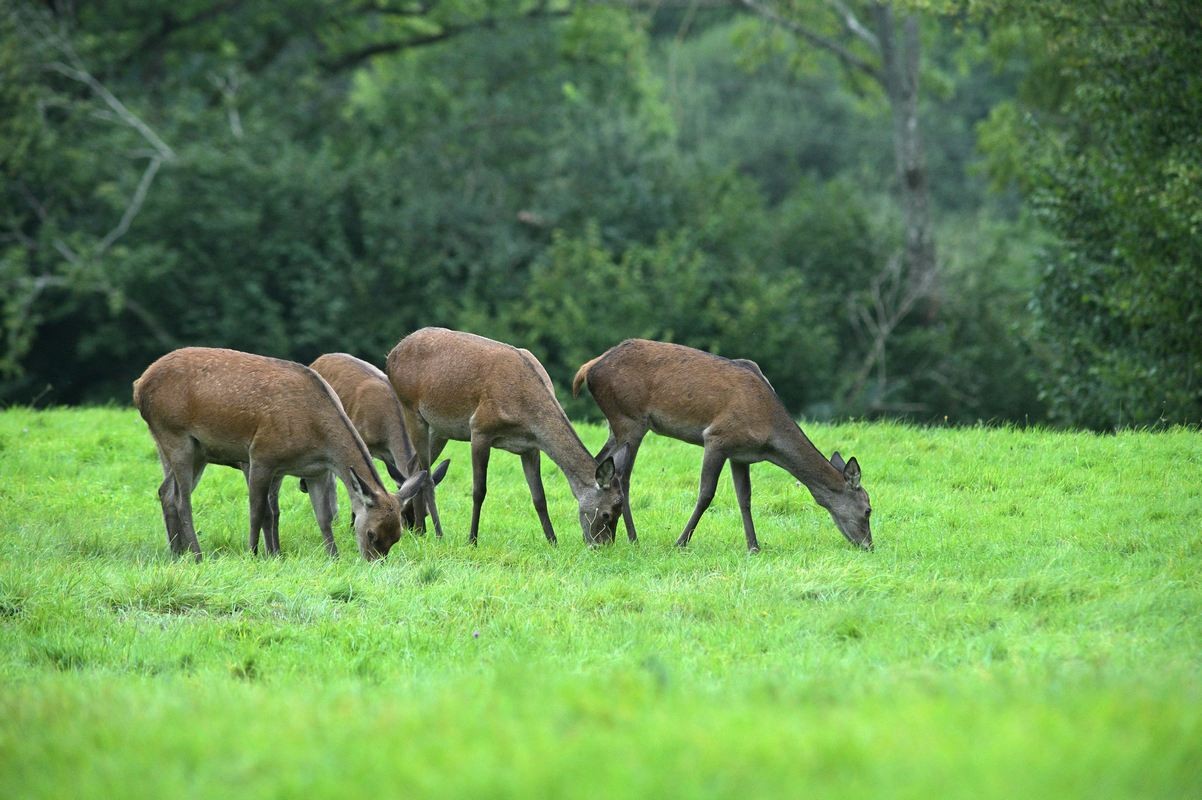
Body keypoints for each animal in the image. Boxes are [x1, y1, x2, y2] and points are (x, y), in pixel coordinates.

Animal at [128, 345, 423, 557]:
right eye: (372, 534)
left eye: (396, 536)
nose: (373, 562)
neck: (317, 433)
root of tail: (138, 385)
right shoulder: (261, 455)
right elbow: (258, 510)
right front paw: (254, 553)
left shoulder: (315, 471)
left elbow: (324, 517)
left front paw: (333, 556)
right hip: (174, 435)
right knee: (182, 499)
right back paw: (197, 554)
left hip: (190, 450)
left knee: (166, 491)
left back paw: (177, 552)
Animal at [302, 353, 449, 533]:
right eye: (405, 512)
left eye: (427, 512)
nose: (415, 533)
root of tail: (319, 358)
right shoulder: (363, 442)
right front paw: (353, 527)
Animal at [384, 326, 629, 545]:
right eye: (607, 513)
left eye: (618, 511)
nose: (601, 546)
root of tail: (392, 353)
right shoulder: (480, 429)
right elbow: (479, 491)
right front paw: (472, 540)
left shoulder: (530, 447)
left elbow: (539, 497)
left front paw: (553, 541)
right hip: (411, 410)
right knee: (426, 476)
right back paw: (437, 533)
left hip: (439, 429)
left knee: (415, 466)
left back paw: (419, 530)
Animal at [572, 338, 875, 552]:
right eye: (868, 510)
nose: (869, 546)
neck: (768, 434)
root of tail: (588, 368)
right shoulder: (717, 438)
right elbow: (706, 494)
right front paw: (680, 542)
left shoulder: (740, 455)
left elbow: (745, 497)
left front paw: (754, 546)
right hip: (630, 420)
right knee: (623, 476)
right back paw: (634, 538)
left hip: (616, 425)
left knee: (600, 461)